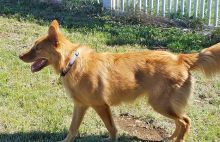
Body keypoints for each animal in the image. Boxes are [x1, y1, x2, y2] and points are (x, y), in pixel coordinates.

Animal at [18, 20, 220, 142]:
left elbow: (111, 127)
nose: (19, 56)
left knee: (185, 121)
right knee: (180, 122)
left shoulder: (101, 105)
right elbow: (72, 128)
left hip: (160, 104)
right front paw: (66, 141)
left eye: (36, 48)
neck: (71, 62)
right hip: (164, 105)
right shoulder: (80, 105)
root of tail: (180, 58)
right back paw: (171, 138)